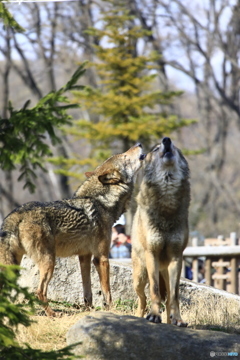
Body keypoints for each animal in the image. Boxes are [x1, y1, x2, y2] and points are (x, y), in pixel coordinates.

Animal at [0, 143, 144, 316]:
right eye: (125, 157)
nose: (139, 144)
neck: (101, 202)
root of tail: (16, 214)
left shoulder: (84, 257)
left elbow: (87, 292)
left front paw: (88, 311)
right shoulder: (101, 257)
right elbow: (107, 291)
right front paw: (111, 311)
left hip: (16, 264)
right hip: (49, 262)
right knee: (39, 291)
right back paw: (53, 315)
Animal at [131, 137, 189, 326]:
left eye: (175, 146)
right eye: (156, 149)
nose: (166, 140)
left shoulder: (177, 257)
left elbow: (175, 297)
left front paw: (178, 320)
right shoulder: (152, 253)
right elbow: (155, 291)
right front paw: (154, 315)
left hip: (166, 272)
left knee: (169, 298)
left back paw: (171, 322)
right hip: (139, 278)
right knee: (142, 299)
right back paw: (139, 317)